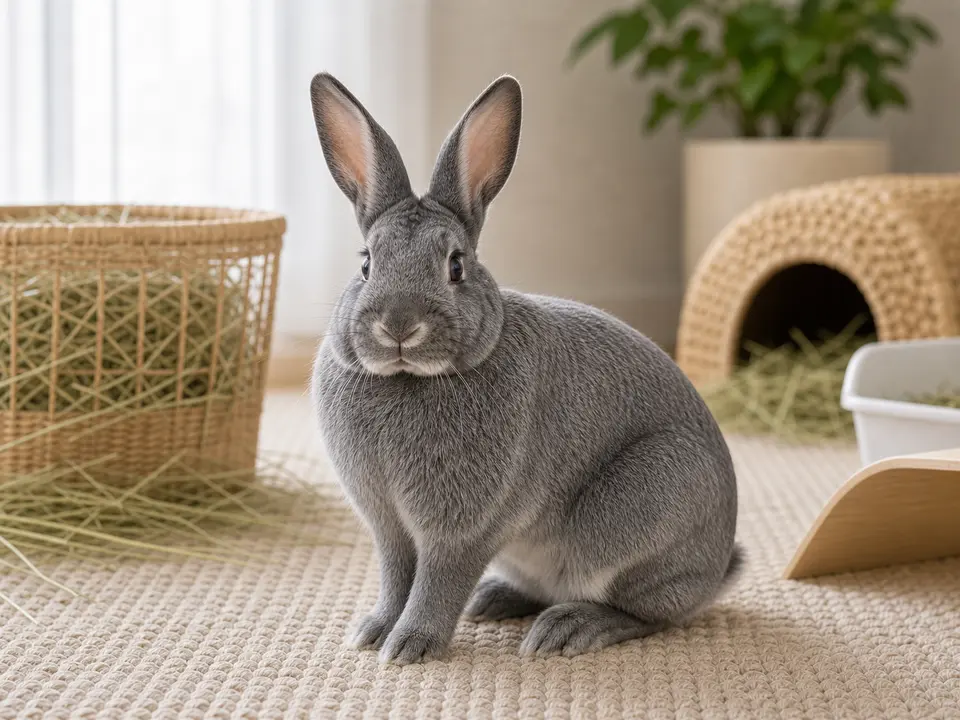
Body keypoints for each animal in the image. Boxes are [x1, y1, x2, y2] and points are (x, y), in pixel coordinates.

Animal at [308, 71, 741, 666]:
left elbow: (436, 584)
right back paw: (493, 600)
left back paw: (569, 629)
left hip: (644, 506)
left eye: (456, 265)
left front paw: (411, 646)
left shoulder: (460, 531)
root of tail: (719, 568)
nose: (399, 326)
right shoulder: (390, 526)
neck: (409, 379)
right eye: (367, 263)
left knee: (648, 613)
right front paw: (373, 631)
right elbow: (397, 578)